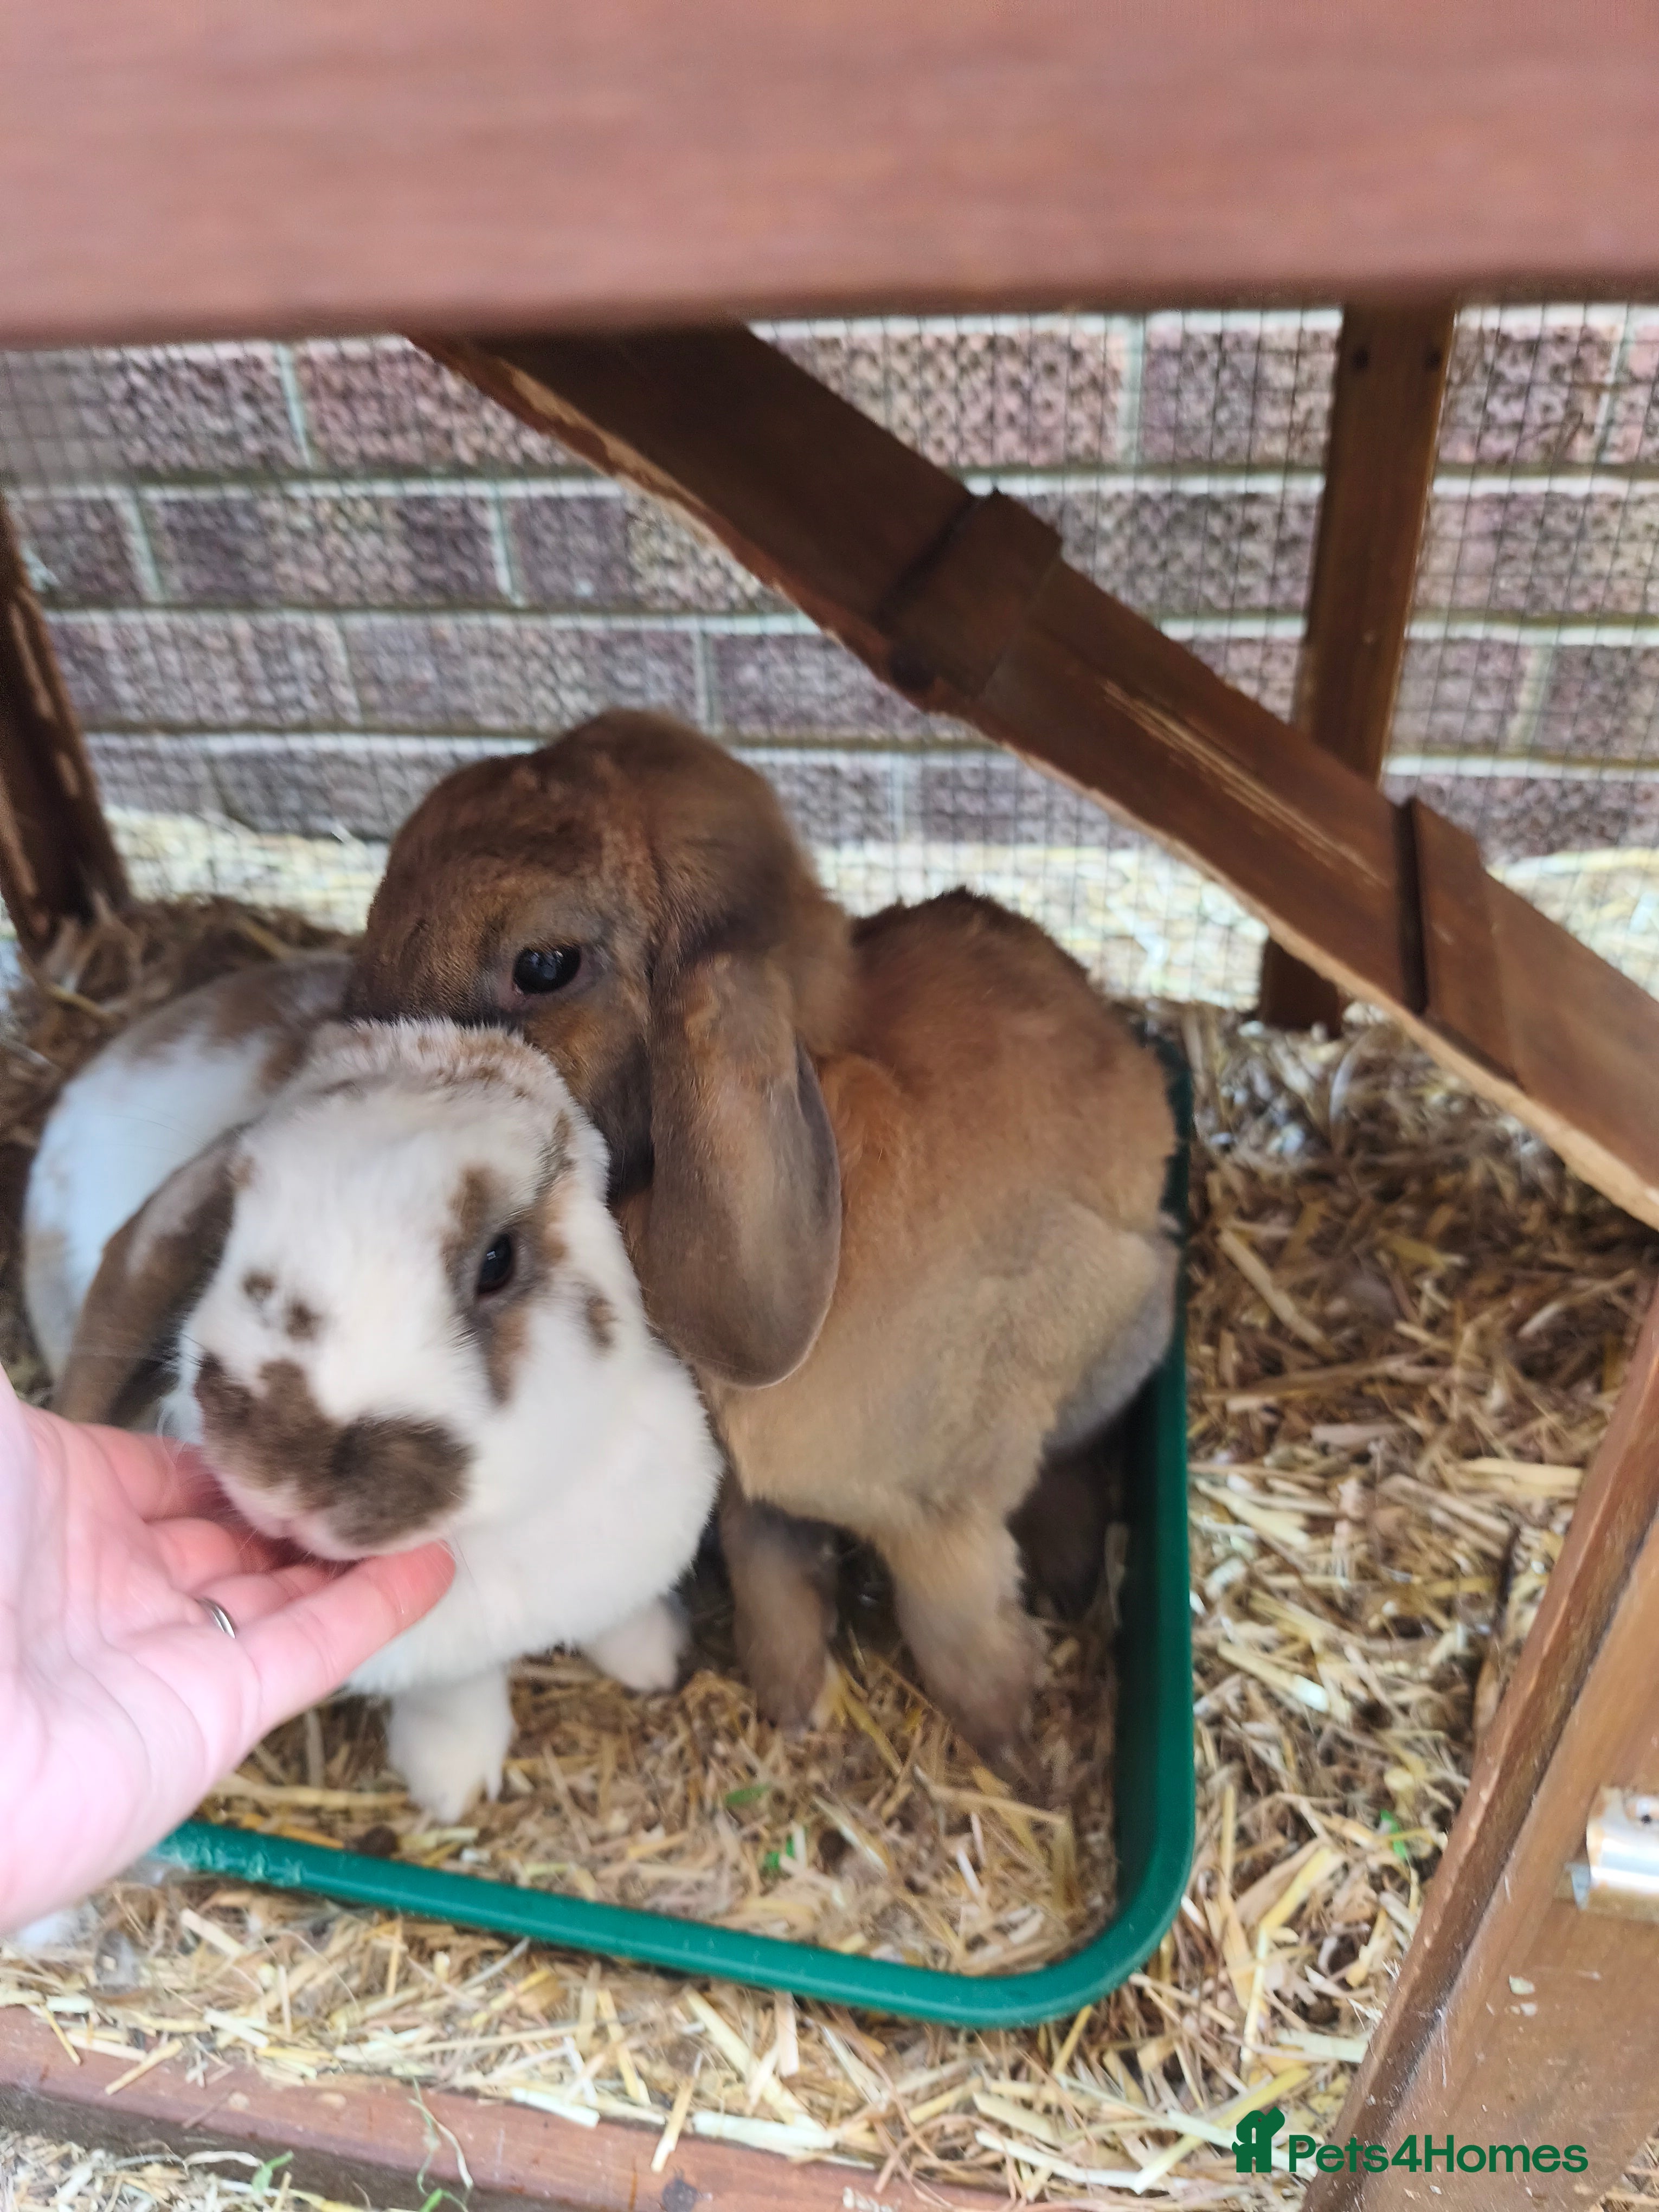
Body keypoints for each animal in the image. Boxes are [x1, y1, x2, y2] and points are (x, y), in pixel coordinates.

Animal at [30, 998, 723, 1821]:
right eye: (225, 1233)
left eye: (498, 1261)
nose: (284, 1481)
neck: (501, 1530)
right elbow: (456, 1697)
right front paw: (451, 1784)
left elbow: (623, 1610)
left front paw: (657, 1659)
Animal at [347, 710, 1178, 1783]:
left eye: (544, 965)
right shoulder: (755, 1509)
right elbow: (773, 1588)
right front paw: (793, 1706)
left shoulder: (942, 1522)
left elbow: (955, 1634)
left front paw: (1017, 1756)